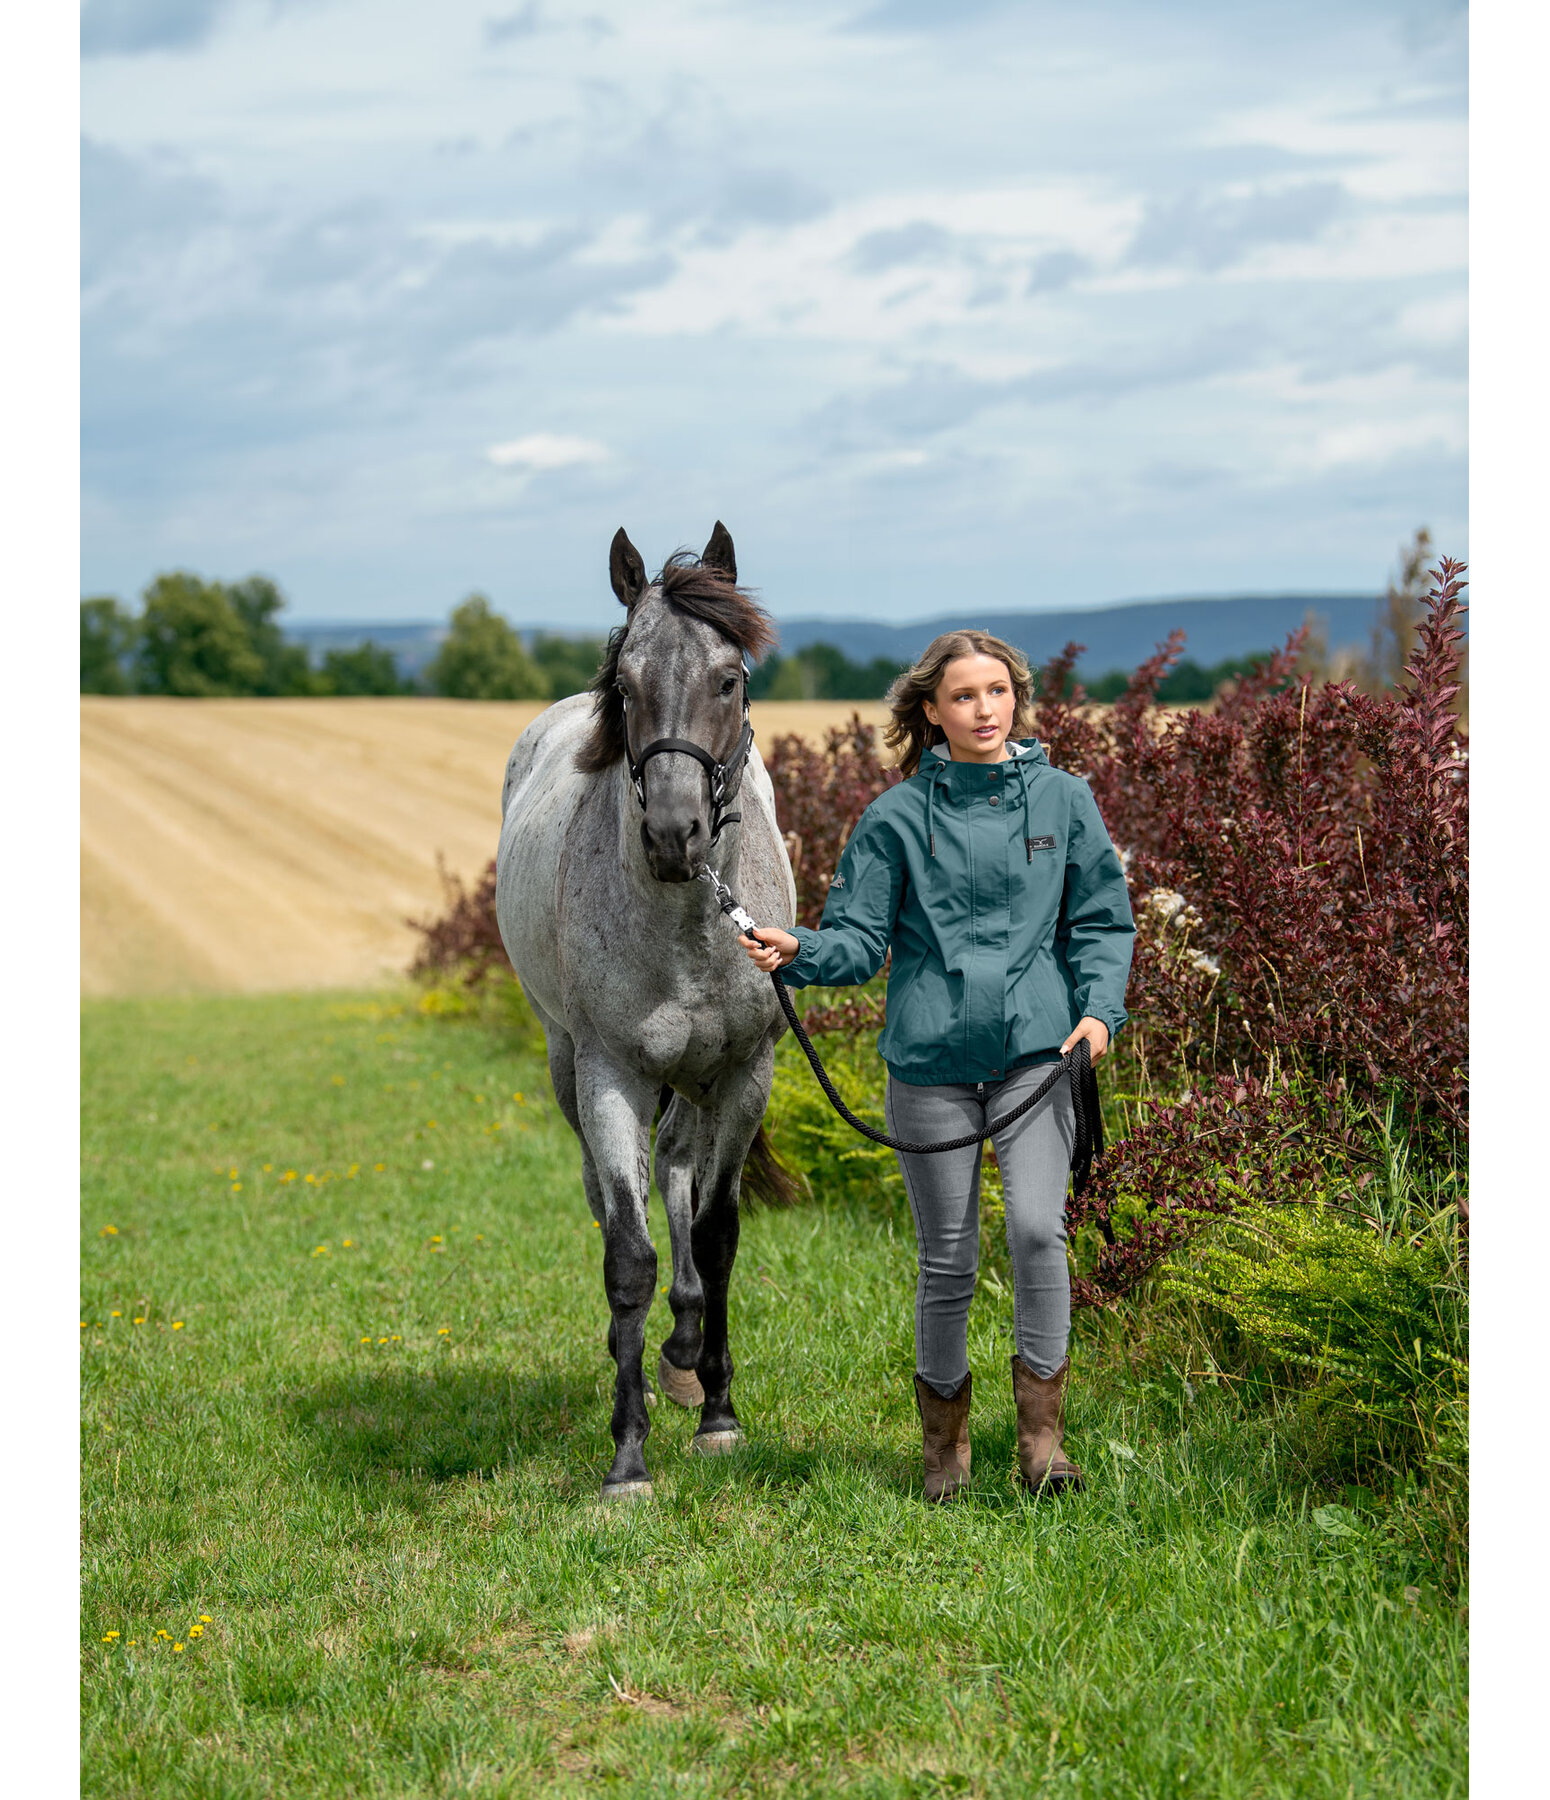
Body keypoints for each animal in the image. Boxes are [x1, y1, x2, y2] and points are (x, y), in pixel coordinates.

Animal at [496, 525, 799, 1504]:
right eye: (624, 685)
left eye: (729, 678)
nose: (674, 836)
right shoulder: (612, 1076)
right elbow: (628, 1255)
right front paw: (627, 1458)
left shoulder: (743, 1075)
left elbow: (716, 1232)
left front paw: (718, 1411)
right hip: (567, 1060)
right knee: (610, 1193)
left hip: (696, 1084)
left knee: (676, 1175)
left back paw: (685, 1354)